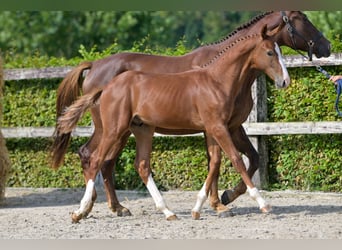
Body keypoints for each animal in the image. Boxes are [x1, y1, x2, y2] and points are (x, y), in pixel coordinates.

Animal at [51, 12, 332, 219]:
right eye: (302, 20)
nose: (326, 46)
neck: (218, 79)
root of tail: (97, 70)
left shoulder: (224, 126)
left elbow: (226, 161)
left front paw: (217, 202)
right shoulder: (220, 127)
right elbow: (236, 160)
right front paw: (244, 202)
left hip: (137, 129)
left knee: (126, 164)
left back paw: (134, 209)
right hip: (112, 128)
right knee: (94, 157)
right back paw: (85, 209)